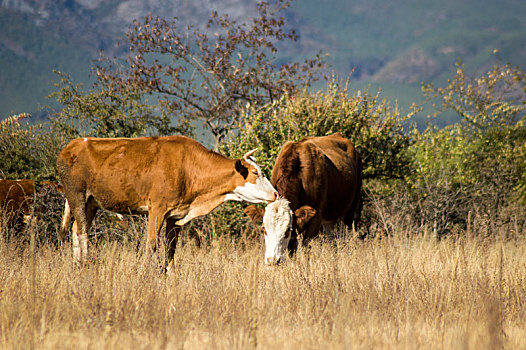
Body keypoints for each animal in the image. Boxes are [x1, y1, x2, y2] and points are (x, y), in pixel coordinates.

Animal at [56, 135, 280, 270]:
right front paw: (143, 274)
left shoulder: (176, 215)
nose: (276, 194)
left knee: (77, 228)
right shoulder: (157, 209)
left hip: (91, 202)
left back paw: (77, 264)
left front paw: (170, 276)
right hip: (76, 194)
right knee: (82, 231)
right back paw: (86, 264)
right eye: (255, 173)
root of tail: (73, 145)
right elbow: (152, 244)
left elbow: (171, 248)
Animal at [246, 133, 364, 264]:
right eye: (264, 229)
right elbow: (292, 250)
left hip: (351, 208)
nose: (272, 260)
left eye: (287, 231)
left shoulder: (315, 218)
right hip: (330, 217)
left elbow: (306, 248)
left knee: (348, 234)